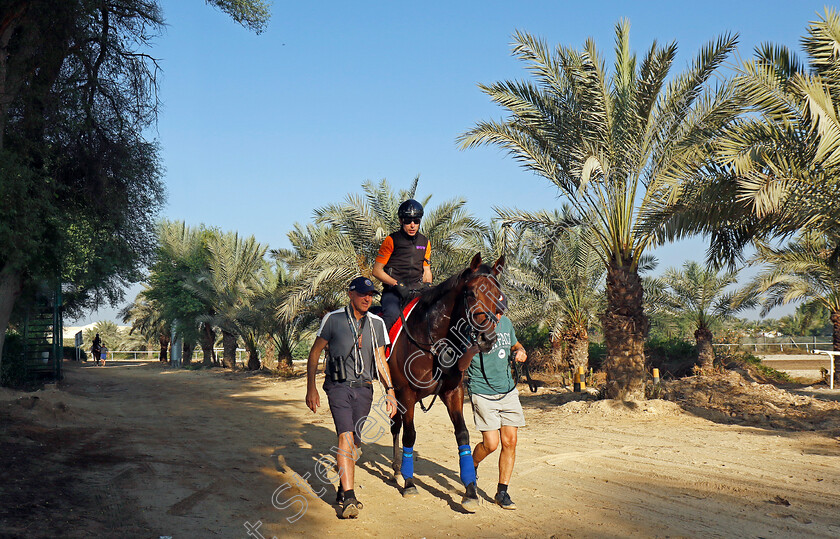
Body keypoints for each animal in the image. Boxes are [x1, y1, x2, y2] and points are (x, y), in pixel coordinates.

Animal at [388, 252, 506, 510]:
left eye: (499, 295)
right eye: (471, 293)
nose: (487, 338)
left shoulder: (453, 392)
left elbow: (462, 434)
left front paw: (470, 490)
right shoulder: (406, 392)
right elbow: (410, 435)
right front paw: (410, 483)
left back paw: (397, 470)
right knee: (395, 427)